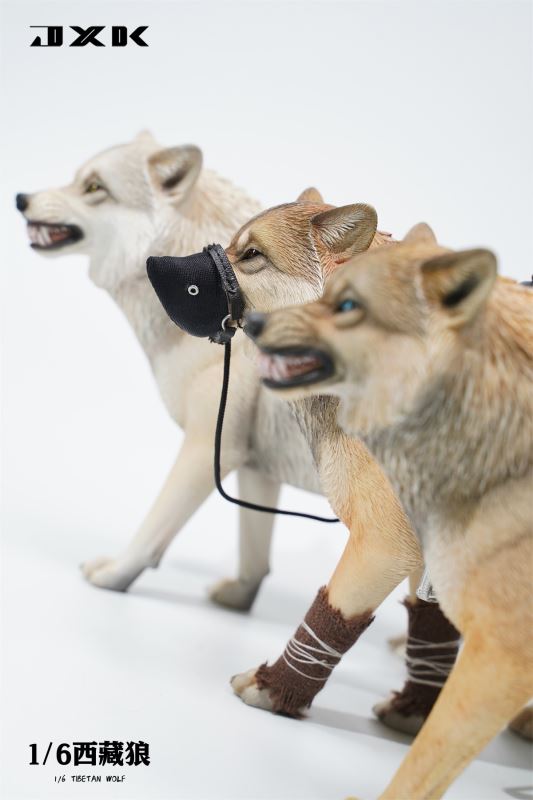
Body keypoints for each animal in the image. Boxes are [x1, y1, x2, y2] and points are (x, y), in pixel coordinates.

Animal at [245, 222, 533, 796]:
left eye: (252, 256)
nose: (253, 323)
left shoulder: (388, 543)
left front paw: (272, 690)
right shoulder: (424, 552)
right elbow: (431, 624)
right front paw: (412, 708)